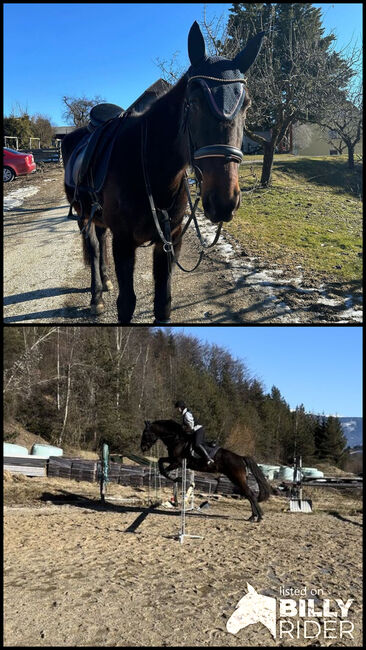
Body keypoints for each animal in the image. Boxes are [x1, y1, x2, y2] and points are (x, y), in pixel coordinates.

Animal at [61, 22, 264, 322]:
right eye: (194, 102)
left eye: (247, 104)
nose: (224, 201)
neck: (149, 168)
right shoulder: (124, 243)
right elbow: (127, 304)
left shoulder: (169, 242)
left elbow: (163, 304)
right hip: (83, 215)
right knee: (95, 248)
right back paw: (96, 296)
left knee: (99, 238)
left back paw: (106, 281)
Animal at [142, 420, 270, 520]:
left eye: (146, 433)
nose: (143, 448)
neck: (177, 439)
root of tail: (240, 457)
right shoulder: (173, 460)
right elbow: (160, 461)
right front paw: (176, 478)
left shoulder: (177, 462)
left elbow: (163, 469)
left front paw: (177, 478)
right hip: (236, 479)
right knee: (248, 494)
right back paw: (253, 516)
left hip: (237, 478)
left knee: (250, 494)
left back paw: (259, 517)